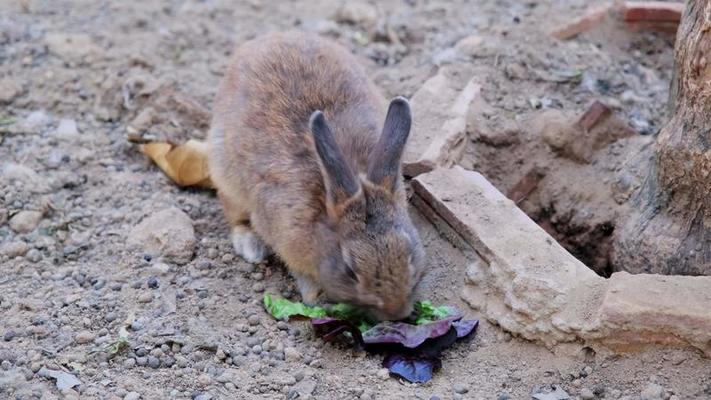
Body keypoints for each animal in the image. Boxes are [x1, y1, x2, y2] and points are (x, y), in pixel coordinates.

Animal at [209, 31, 426, 320]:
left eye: (410, 253)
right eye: (350, 270)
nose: (397, 313)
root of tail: (271, 39)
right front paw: (315, 297)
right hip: (226, 176)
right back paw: (251, 245)